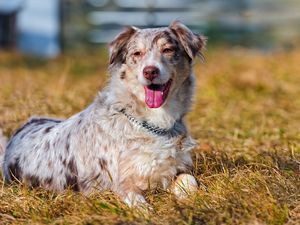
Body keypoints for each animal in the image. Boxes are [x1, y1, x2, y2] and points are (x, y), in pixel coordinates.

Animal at [0, 21, 206, 207]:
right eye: (137, 54)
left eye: (168, 50)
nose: (150, 71)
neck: (152, 122)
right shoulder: (118, 184)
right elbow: (139, 204)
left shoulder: (178, 167)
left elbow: (190, 181)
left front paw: (190, 200)